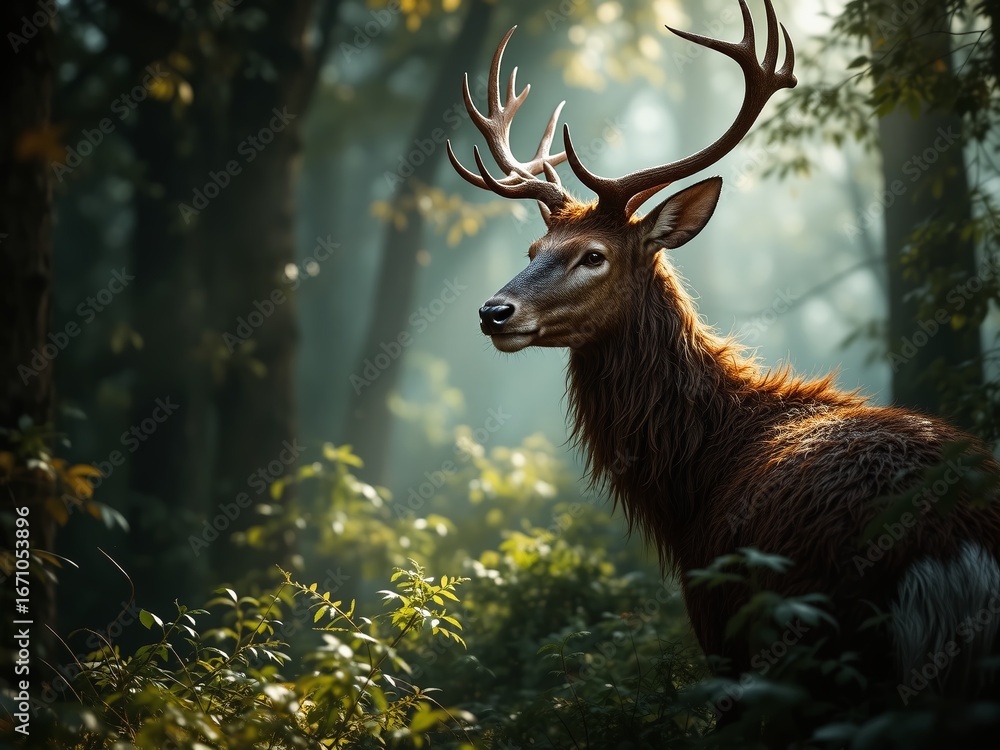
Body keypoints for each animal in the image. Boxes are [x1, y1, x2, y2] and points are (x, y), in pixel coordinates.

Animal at [447, 0, 1000, 714]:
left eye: (593, 255)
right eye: (534, 250)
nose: (494, 312)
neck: (694, 485)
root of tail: (956, 546)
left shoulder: (720, 631)